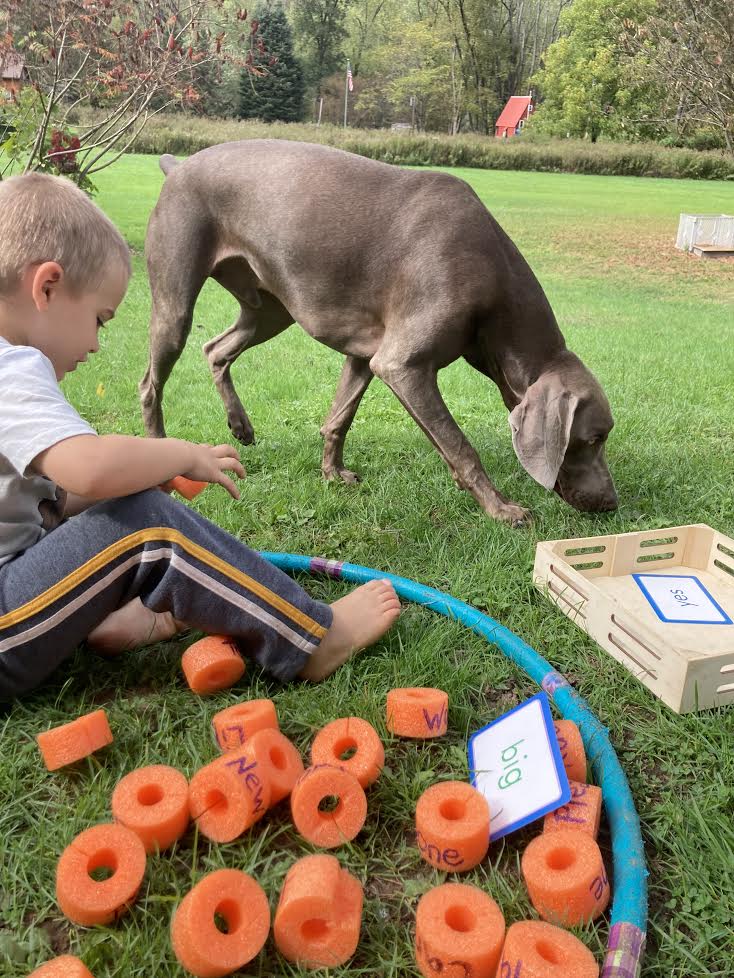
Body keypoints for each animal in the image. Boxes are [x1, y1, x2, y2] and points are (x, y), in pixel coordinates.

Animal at [140, 140, 617, 525]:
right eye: (594, 438)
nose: (612, 503)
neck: (494, 280)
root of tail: (177, 165)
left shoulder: (365, 354)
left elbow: (339, 418)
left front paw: (332, 473)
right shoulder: (402, 364)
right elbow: (461, 447)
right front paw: (501, 509)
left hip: (269, 309)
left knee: (215, 348)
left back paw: (240, 425)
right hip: (176, 300)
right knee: (151, 381)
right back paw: (158, 452)